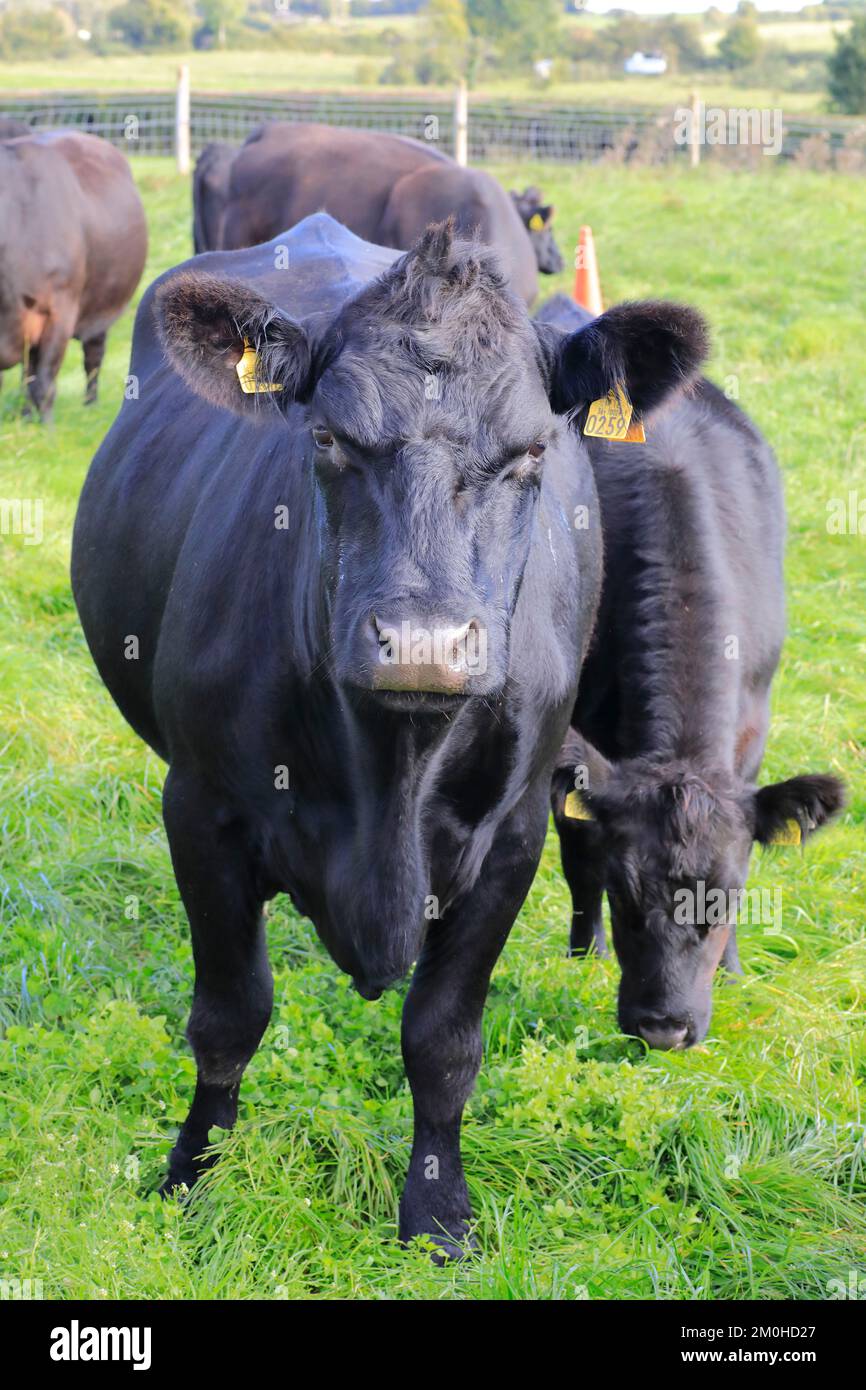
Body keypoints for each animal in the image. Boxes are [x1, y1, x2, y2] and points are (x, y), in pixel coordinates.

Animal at [0, 130, 147, 419]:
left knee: (93, 357)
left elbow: (44, 382)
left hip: (103, 307)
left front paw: (46, 427)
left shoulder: (59, 310)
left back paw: (90, 404)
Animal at [72, 214, 706, 1257]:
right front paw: (195, 1173)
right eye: (328, 437)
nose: (424, 644)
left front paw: (437, 1212)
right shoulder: (199, 810)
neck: (391, 773)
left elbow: (443, 1039)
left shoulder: (514, 835)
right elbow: (228, 1017)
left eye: (532, 453)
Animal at [537, 295, 845, 1052]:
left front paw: (731, 975)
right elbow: (579, 850)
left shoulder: (752, 732)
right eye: (626, 894)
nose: (663, 1028)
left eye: (726, 897)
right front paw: (583, 956)